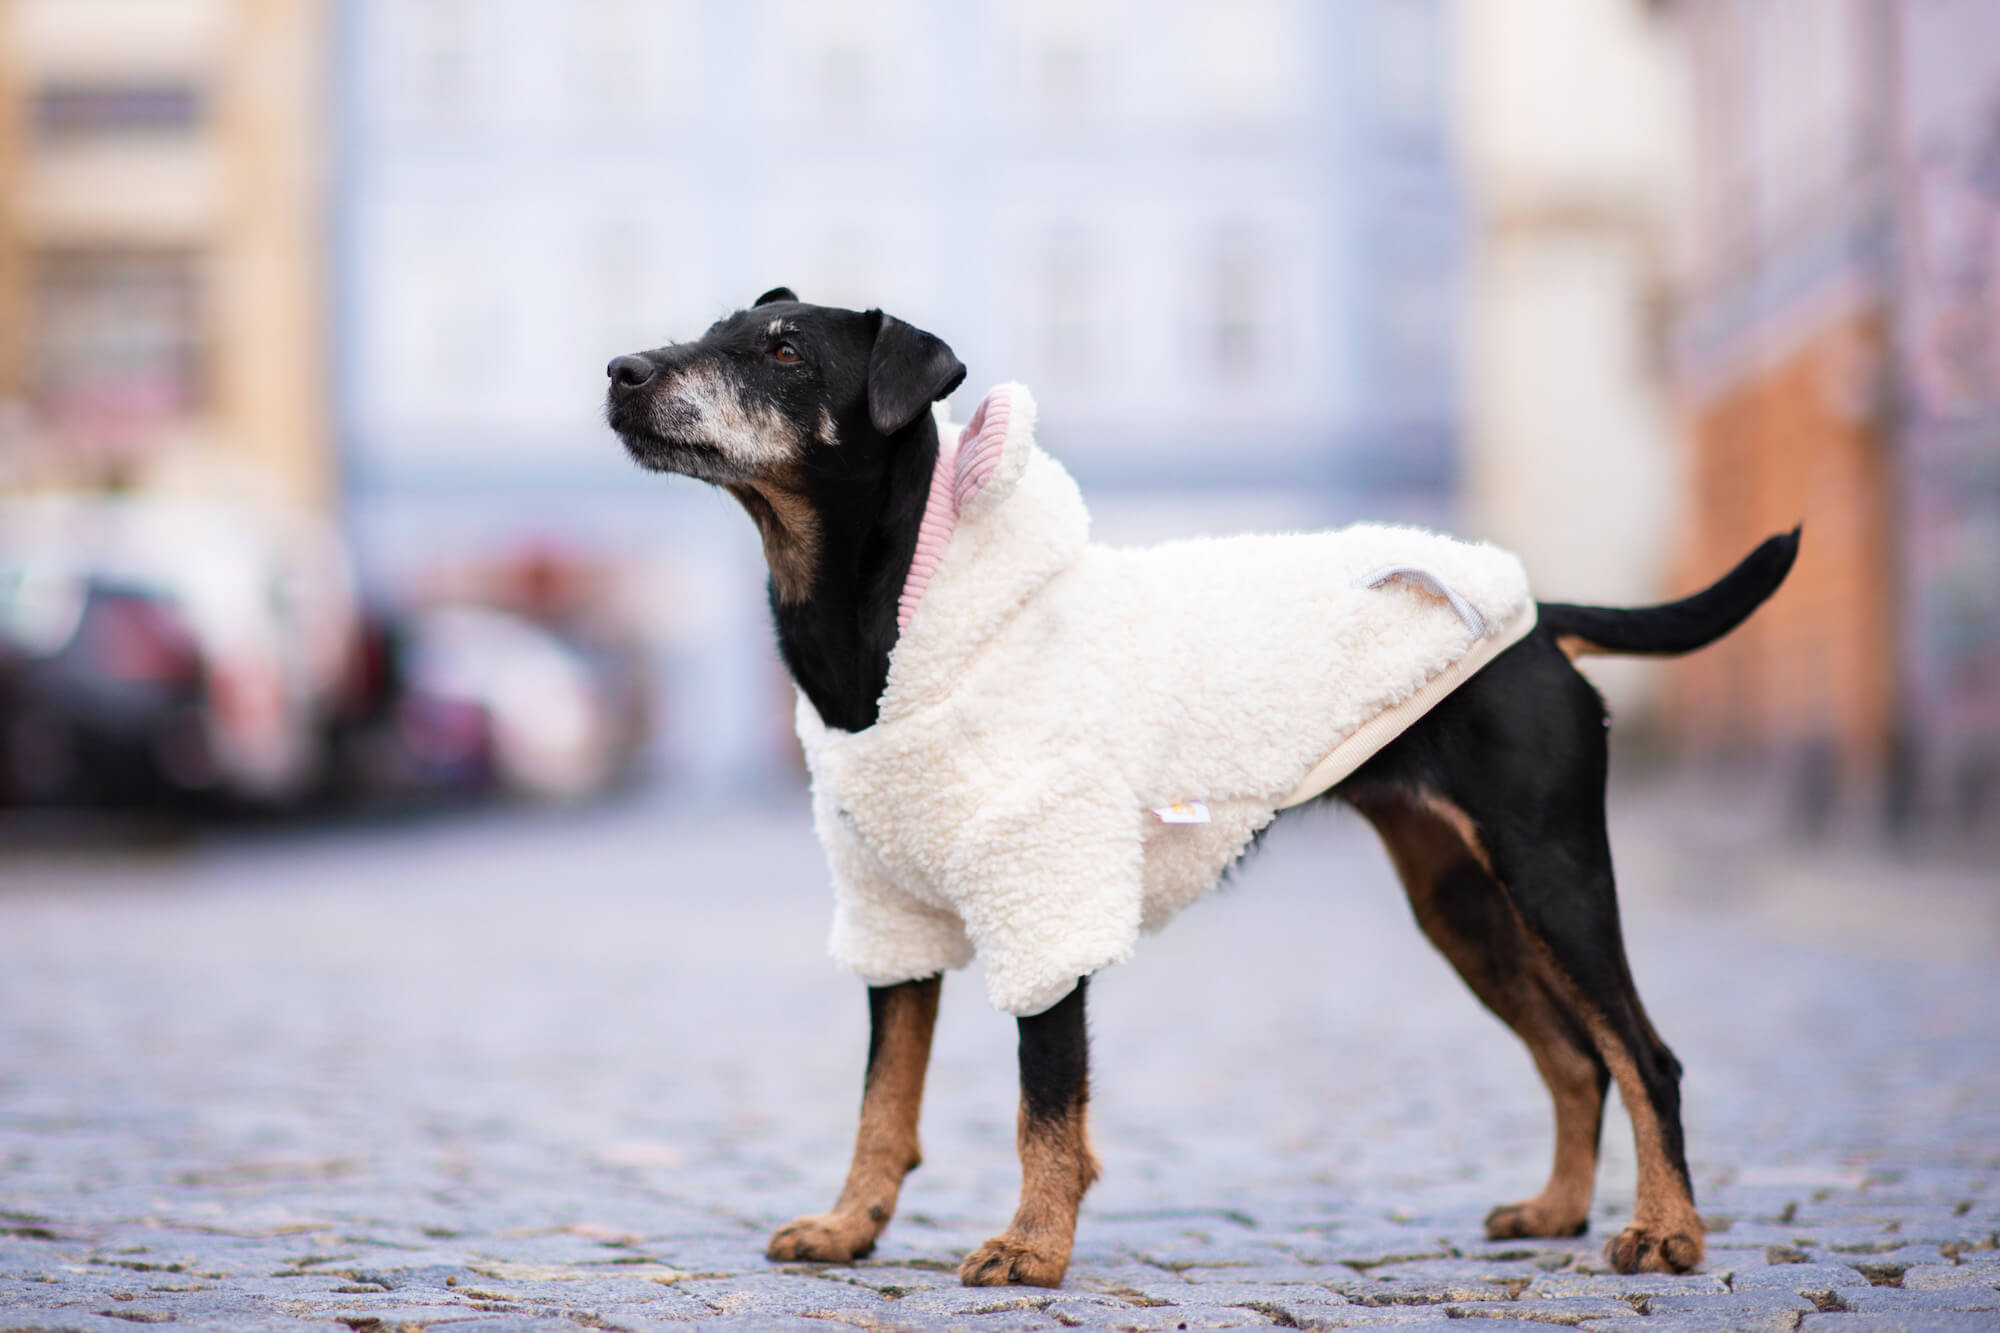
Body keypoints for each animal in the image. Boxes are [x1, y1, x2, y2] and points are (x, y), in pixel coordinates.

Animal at [600, 286, 1808, 1280]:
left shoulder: (1049, 894)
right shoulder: (890, 917)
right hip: (1460, 901)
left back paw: (1665, 1232)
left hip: (1551, 870)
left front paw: (1031, 1247)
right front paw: (848, 1225)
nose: (621, 368)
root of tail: (1537, 618)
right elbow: (881, 1104)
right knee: (1574, 1058)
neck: (885, 615)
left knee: (1644, 1054)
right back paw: (1555, 1209)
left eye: (782, 350)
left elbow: (1045, 1101)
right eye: (709, 331)